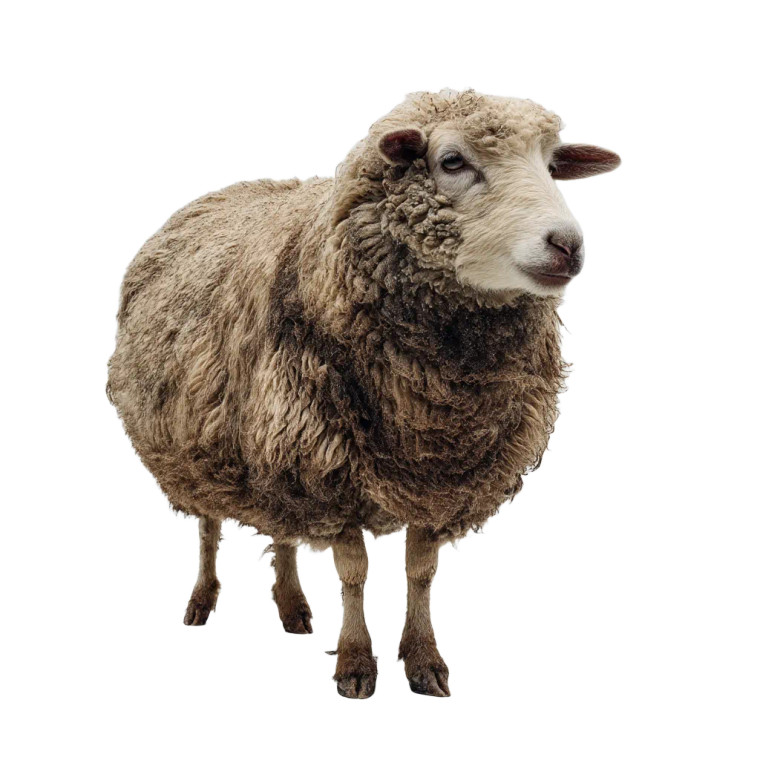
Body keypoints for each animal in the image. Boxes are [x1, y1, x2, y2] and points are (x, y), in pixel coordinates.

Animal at [107, 89, 620, 699]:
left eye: (552, 165)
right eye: (451, 161)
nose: (567, 245)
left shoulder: (440, 472)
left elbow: (421, 571)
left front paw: (423, 659)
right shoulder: (327, 466)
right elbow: (354, 573)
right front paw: (355, 662)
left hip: (271, 445)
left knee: (284, 531)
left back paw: (292, 607)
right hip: (205, 439)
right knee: (209, 526)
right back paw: (202, 600)